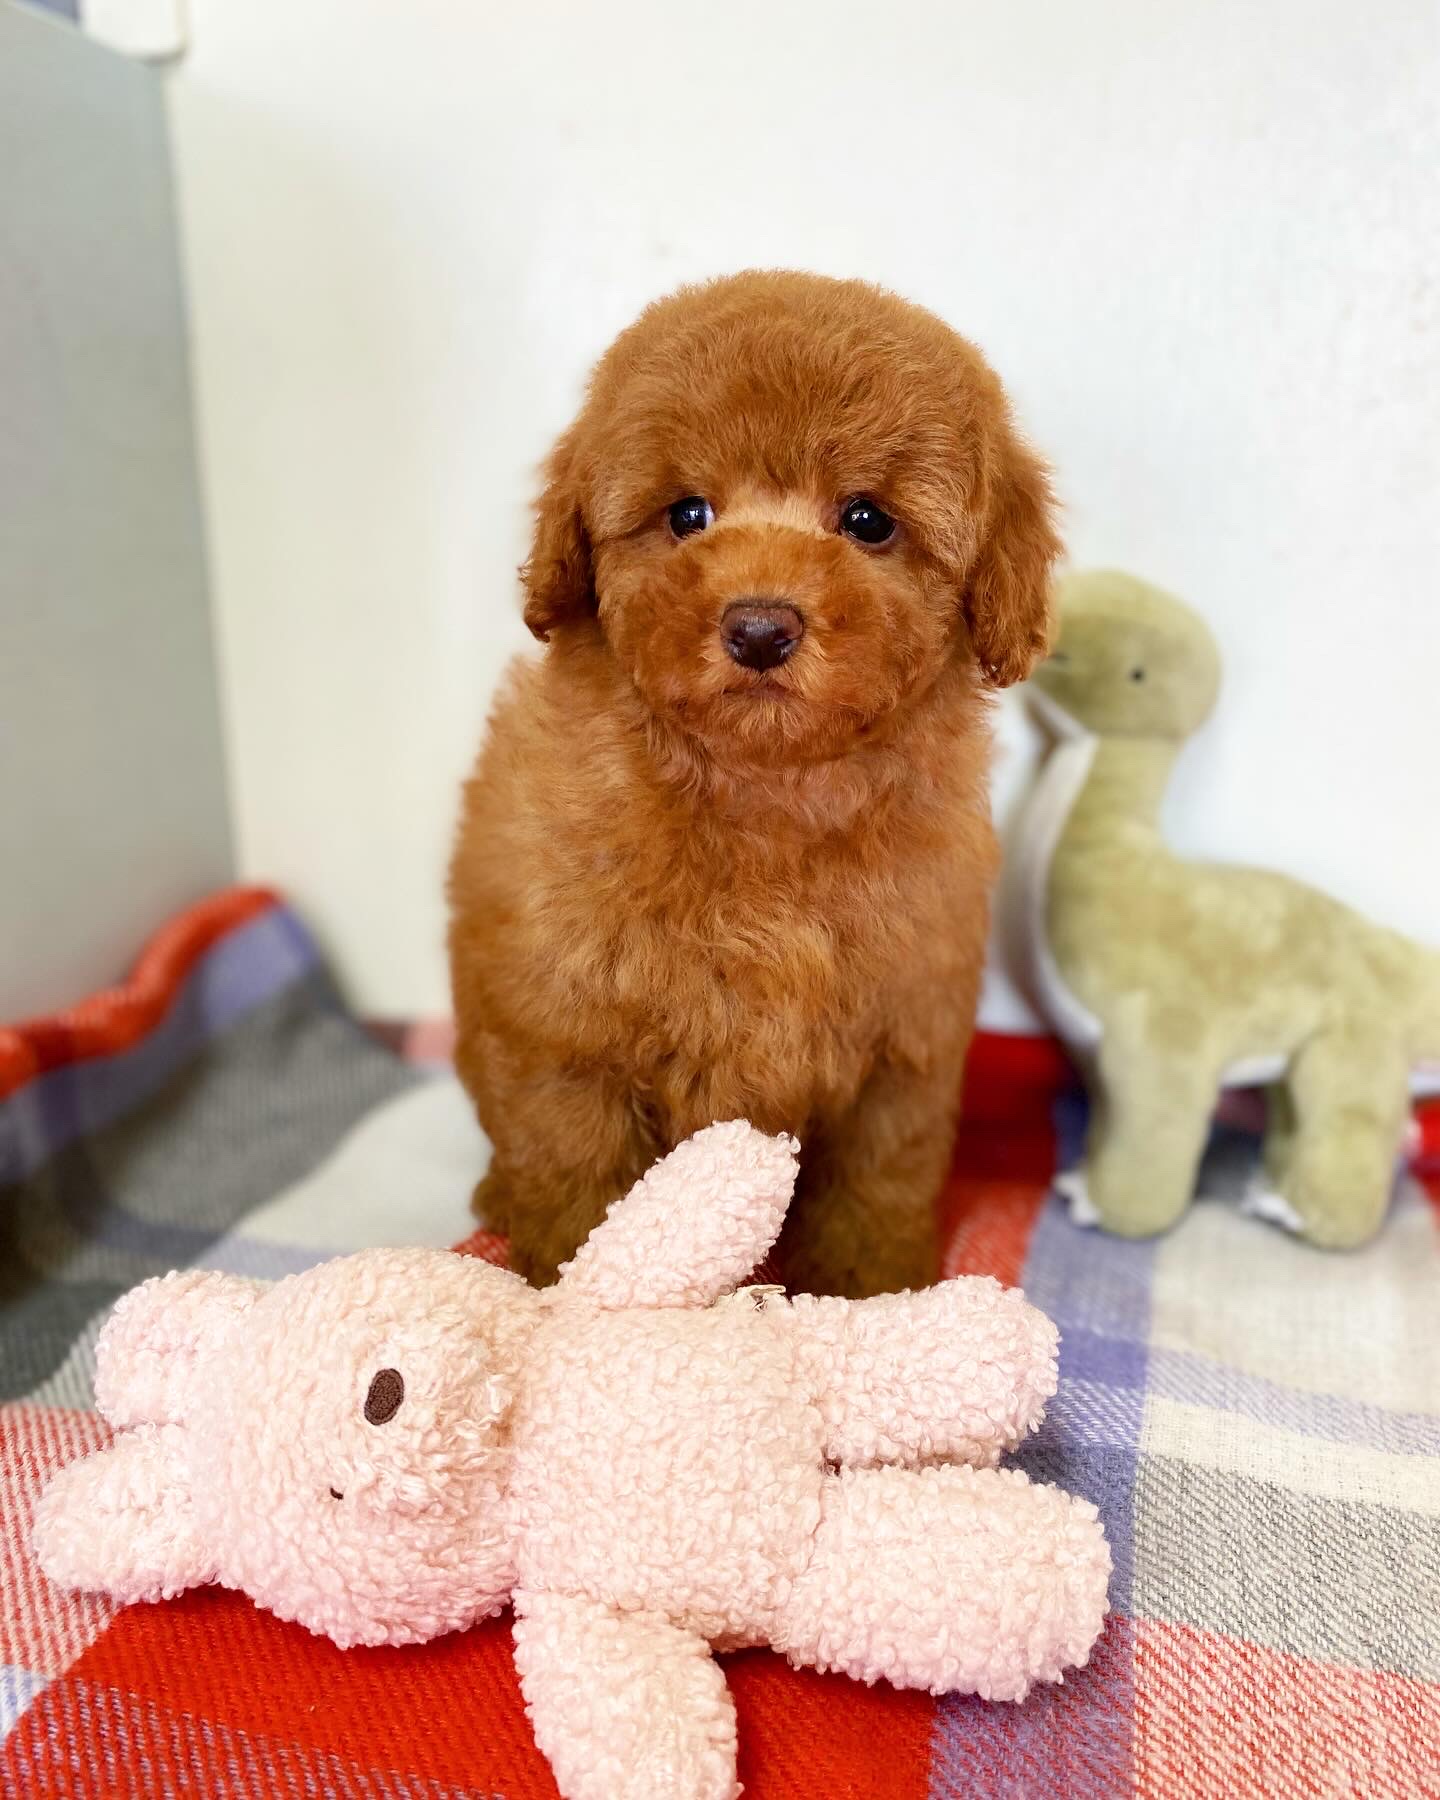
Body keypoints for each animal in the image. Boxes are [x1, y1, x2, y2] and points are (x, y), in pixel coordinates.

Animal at [448, 270, 1059, 1295]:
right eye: (687, 515)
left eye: (867, 521)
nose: (761, 627)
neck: (764, 793)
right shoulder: (561, 1037)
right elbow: (579, 1179)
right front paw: (576, 1291)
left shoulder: (905, 1044)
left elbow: (878, 1183)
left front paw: (869, 1294)